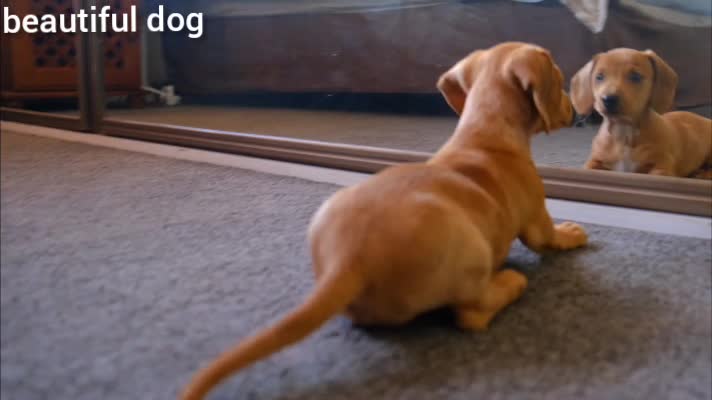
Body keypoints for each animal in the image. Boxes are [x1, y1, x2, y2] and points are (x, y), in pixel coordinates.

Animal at [181, 43, 588, 400]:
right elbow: (549, 237)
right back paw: (510, 283)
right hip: (472, 251)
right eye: (559, 79)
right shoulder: (536, 219)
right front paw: (571, 232)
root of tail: (348, 260)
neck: (485, 131)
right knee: (471, 314)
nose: (575, 112)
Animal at [572, 48, 712, 177]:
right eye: (599, 77)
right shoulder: (595, 161)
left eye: (635, 76)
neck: (624, 133)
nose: (608, 99)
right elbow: (588, 168)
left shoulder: (662, 166)